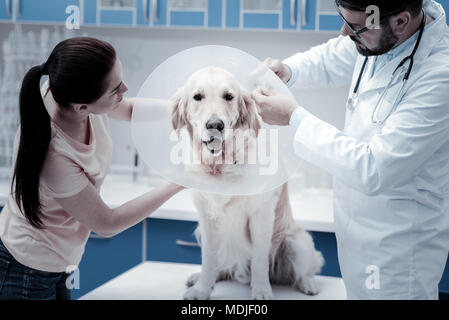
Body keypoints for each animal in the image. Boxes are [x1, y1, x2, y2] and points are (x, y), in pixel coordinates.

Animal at [169, 67, 322, 300]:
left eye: (229, 96)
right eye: (197, 97)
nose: (215, 125)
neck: (222, 164)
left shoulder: (261, 214)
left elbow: (259, 259)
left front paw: (261, 291)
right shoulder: (206, 216)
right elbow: (208, 258)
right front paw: (202, 289)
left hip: (296, 242)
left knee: (304, 269)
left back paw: (308, 284)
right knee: (222, 266)